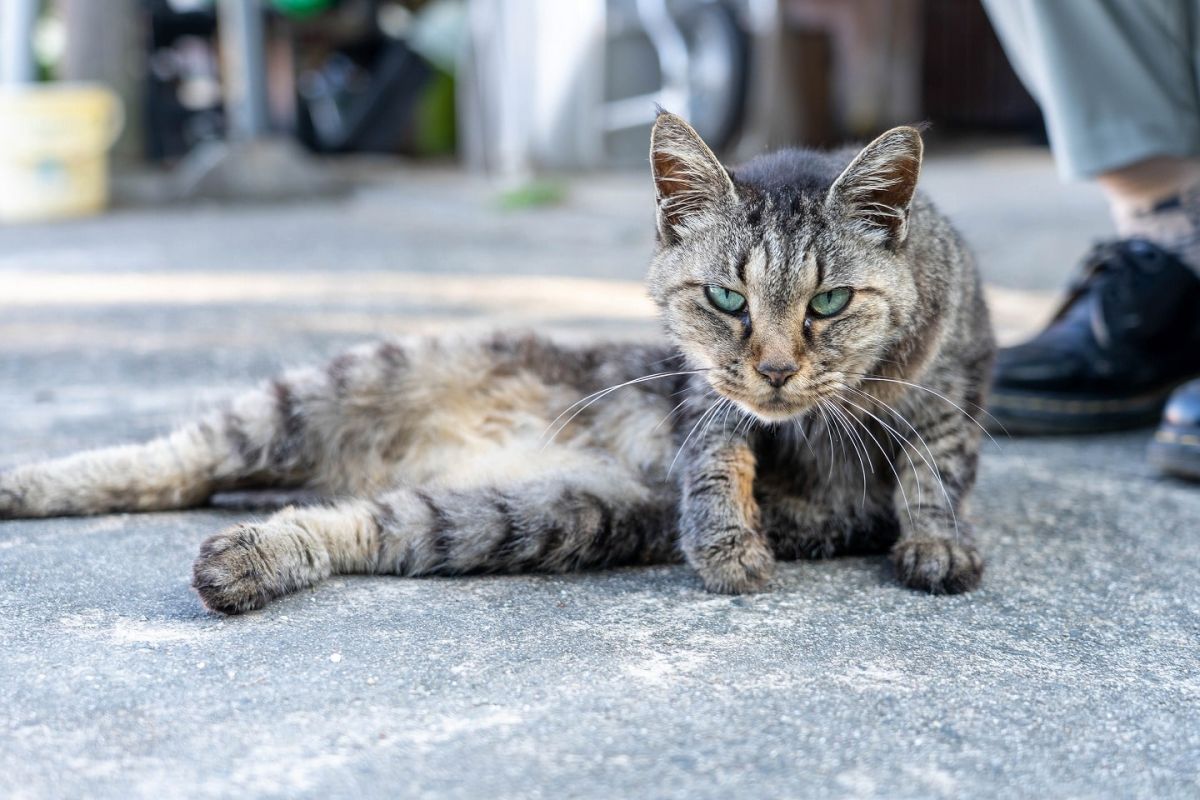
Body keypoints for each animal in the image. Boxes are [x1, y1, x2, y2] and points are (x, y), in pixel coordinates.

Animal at [0, 112, 993, 614]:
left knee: (350, 519)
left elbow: (931, 461)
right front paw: (728, 545)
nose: (779, 370)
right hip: (342, 386)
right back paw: (29, 484)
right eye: (725, 300)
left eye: (828, 304)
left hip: (532, 514)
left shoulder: (954, 388)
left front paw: (937, 542)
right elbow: (719, 448)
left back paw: (247, 559)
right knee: (180, 457)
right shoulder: (700, 392)